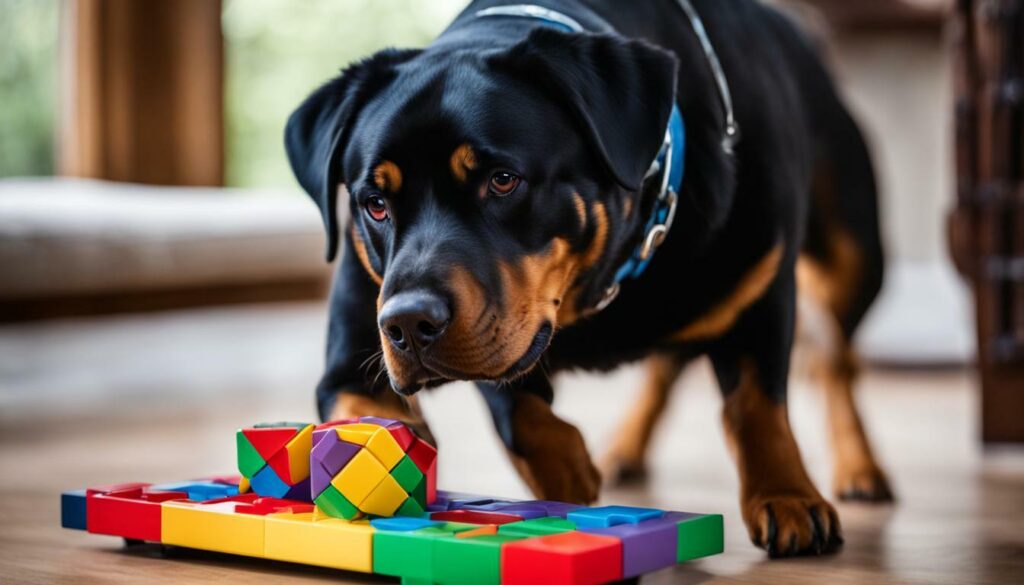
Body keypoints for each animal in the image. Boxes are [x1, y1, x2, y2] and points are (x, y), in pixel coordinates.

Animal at [284, 0, 892, 557]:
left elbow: (756, 405)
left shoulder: (760, 283)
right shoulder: (359, 355)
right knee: (670, 362)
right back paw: (625, 446)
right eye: (375, 203)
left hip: (854, 260)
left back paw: (860, 467)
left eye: (502, 180)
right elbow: (505, 402)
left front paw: (787, 497)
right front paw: (568, 472)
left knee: (835, 358)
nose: (409, 323)